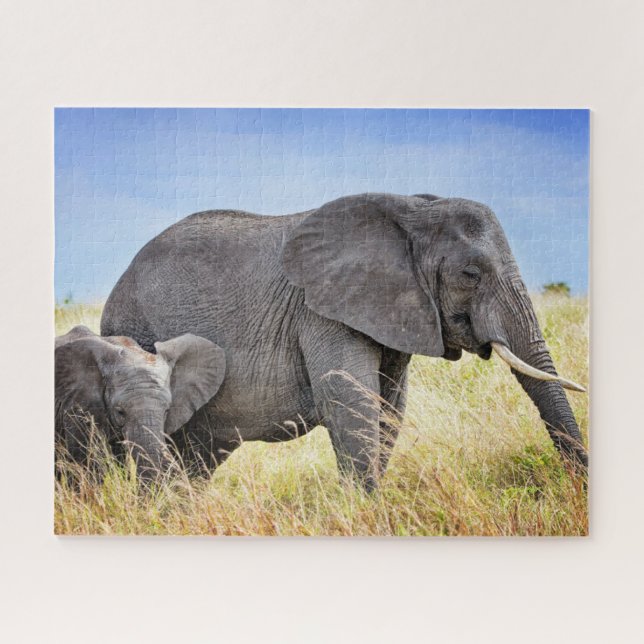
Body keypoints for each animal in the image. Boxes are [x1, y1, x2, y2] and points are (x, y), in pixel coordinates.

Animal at [100, 193, 587, 490]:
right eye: (471, 274)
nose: (577, 487)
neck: (410, 210)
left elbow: (390, 409)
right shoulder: (322, 313)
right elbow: (350, 399)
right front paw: (366, 510)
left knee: (197, 456)